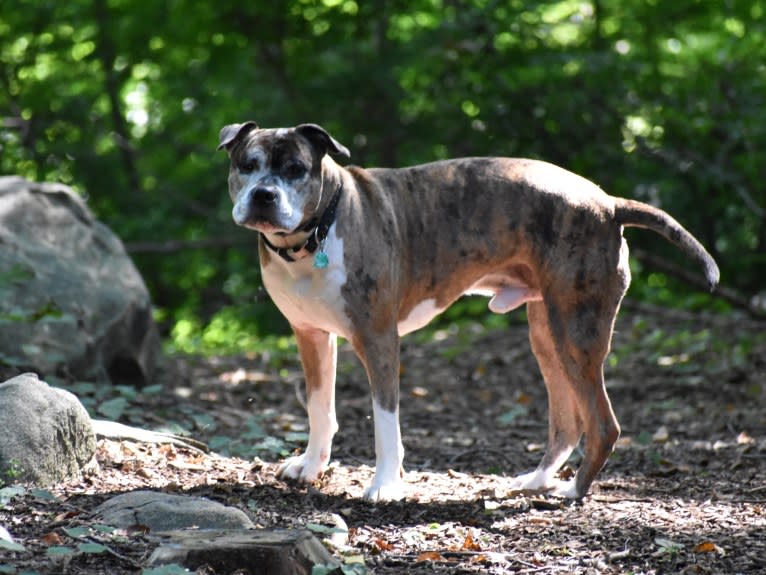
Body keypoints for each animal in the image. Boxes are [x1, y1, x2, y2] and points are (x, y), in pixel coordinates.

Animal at [219, 122, 724, 504]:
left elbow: (385, 422)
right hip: (547, 334)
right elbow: (320, 409)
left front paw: (385, 485)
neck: (316, 233)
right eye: (247, 165)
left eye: (296, 169)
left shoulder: (379, 340)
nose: (263, 195)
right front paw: (310, 466)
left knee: (602, 424)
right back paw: (537, 480)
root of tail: (607, 203)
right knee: (567, 422)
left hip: (577, 333)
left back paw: (573, 492)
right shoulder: (311, 336)